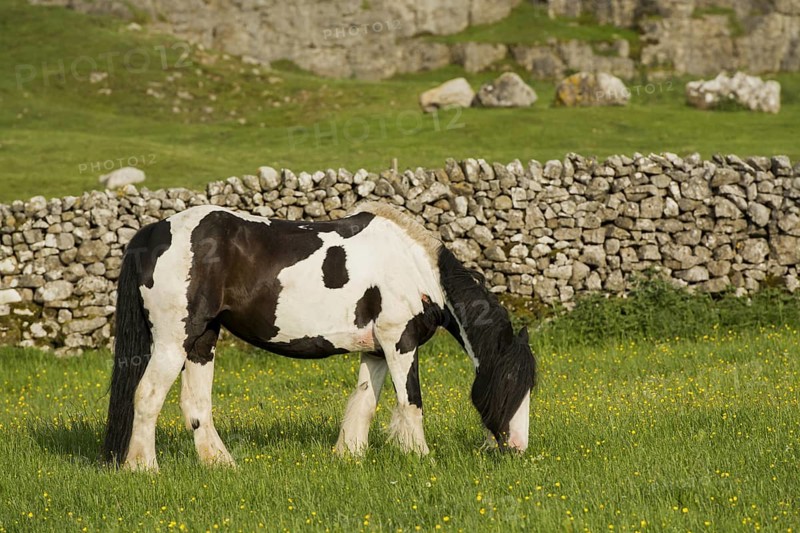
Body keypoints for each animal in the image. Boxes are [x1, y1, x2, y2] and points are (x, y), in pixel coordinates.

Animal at [103, 202, 536, 470]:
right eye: (512, 379)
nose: (518, 447)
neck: (416, 268)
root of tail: (154, 232)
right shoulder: (400, 342)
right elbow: (410, 403)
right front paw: (422, 458)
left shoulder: (376, 352)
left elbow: (364, 404)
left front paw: (349, 456)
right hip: (172, 342)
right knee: (147, 396)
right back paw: (143, 468)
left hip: (201, 341)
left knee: (195, 405)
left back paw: (220, 464)